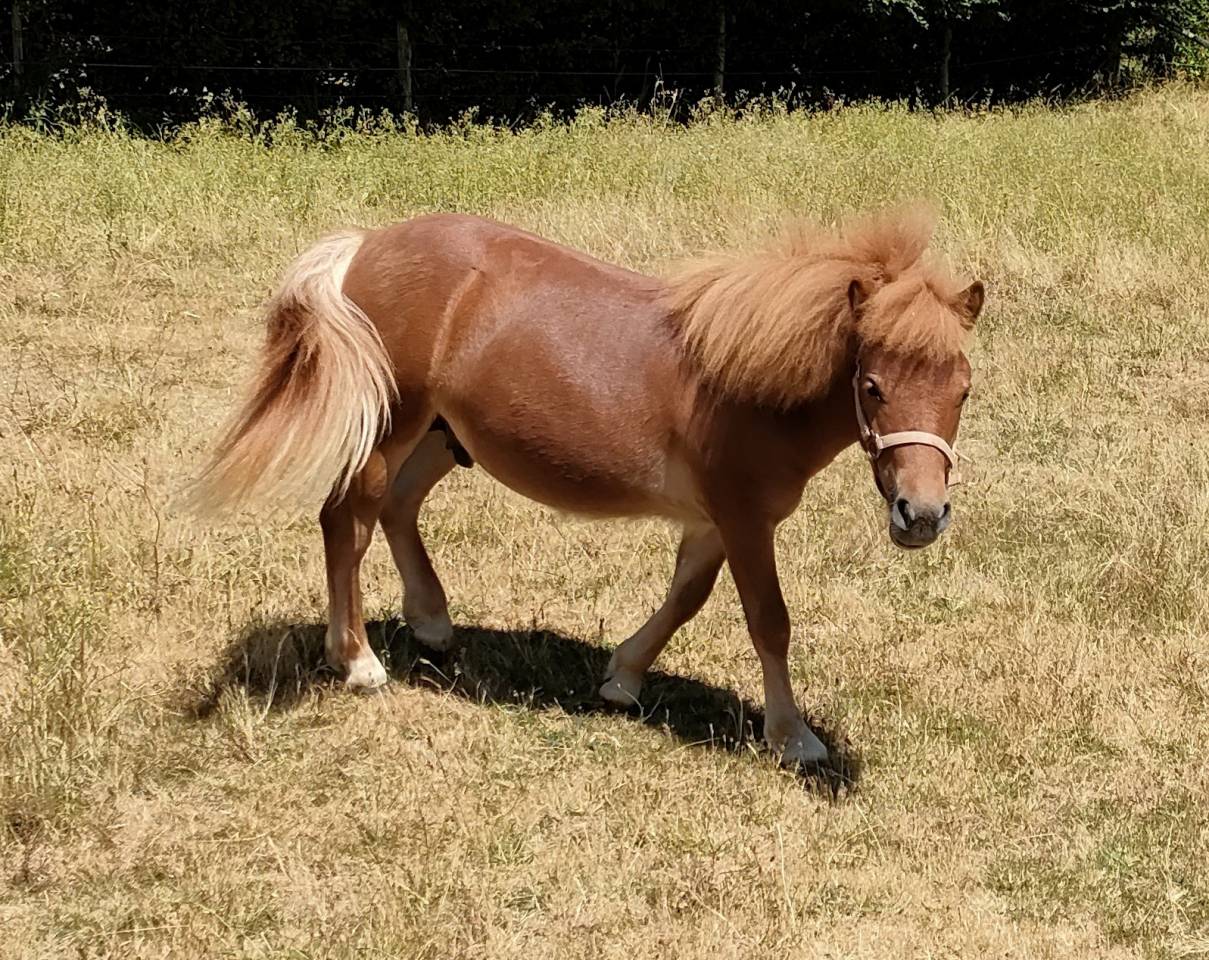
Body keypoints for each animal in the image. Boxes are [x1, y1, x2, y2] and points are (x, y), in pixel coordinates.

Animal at [188, 208, 984, 767]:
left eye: (964, 389)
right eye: (872, 386)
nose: (921, 514)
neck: (746, 379)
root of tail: (365, 245)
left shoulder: (710, 522)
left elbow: (685, 599)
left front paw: (621, 679)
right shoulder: (744, 519)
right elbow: (769, 621)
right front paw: (792, 738)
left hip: (445, 436)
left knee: (396, 507)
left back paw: (433, 623)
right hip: (392, 425)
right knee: (346, 520)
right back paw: (358, 662)